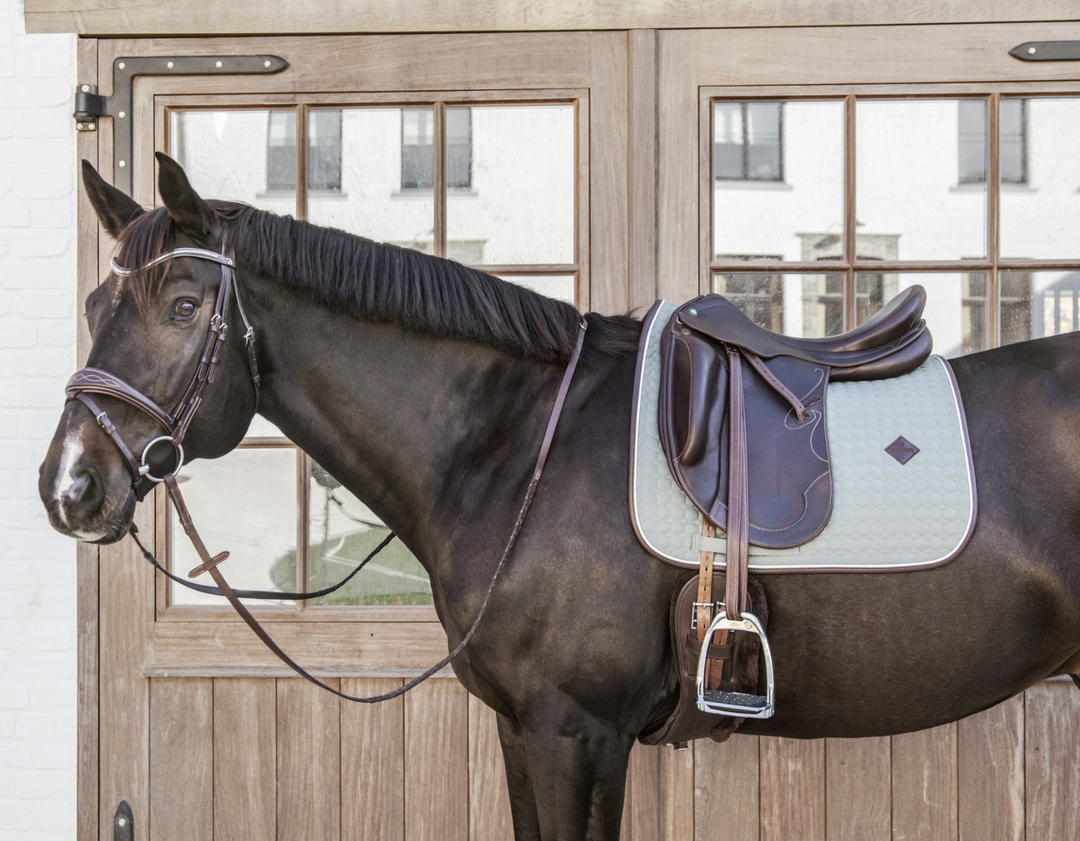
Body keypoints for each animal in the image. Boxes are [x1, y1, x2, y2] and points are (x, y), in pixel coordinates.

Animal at [33, 153, 1080, 841]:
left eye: (182, 308)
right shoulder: (522, 726)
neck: (522, 443)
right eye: (92, 307)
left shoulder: (577, 729)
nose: (69, 485)